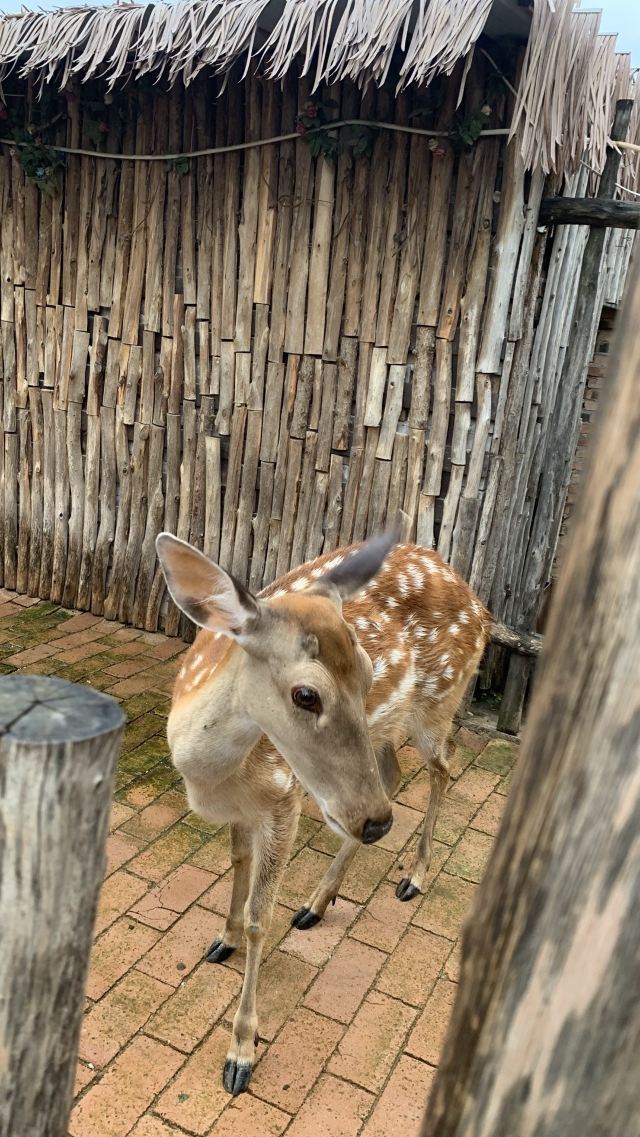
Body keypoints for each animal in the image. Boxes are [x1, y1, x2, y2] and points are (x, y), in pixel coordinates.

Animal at [155, 530, 490, 1096]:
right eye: (306, 693)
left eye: (368, 673)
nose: (377, 823)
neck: (212, 776)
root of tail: (478, 602)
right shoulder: (243, 809)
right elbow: (237, 867)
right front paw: (221, 941)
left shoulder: (282, 796)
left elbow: (260, 918)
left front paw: (241, 1053)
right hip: (381, 741)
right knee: (393, 777)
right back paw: (319, 900)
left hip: (439, 701)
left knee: (443, 769)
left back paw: (413, 877)